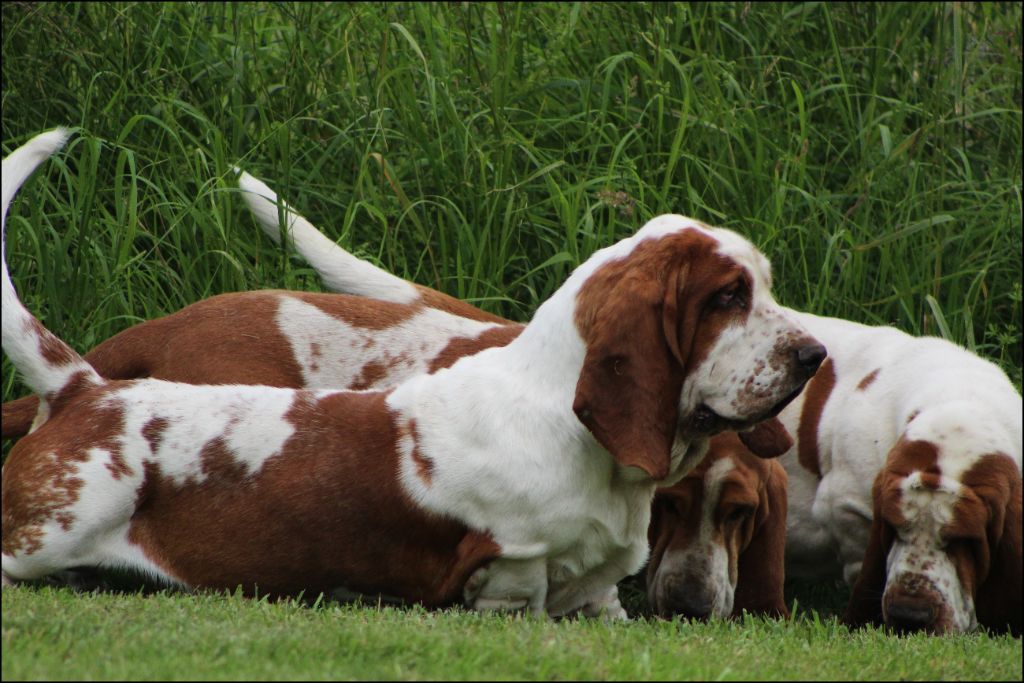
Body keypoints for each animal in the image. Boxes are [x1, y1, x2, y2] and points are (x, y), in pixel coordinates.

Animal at [0, 129, 823, 618]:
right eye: (727, 296)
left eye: (764, 285)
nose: (814, 356)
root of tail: (86, 385)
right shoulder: (511, 561)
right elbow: (515, 590)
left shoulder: (601, 593)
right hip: (52, 532)